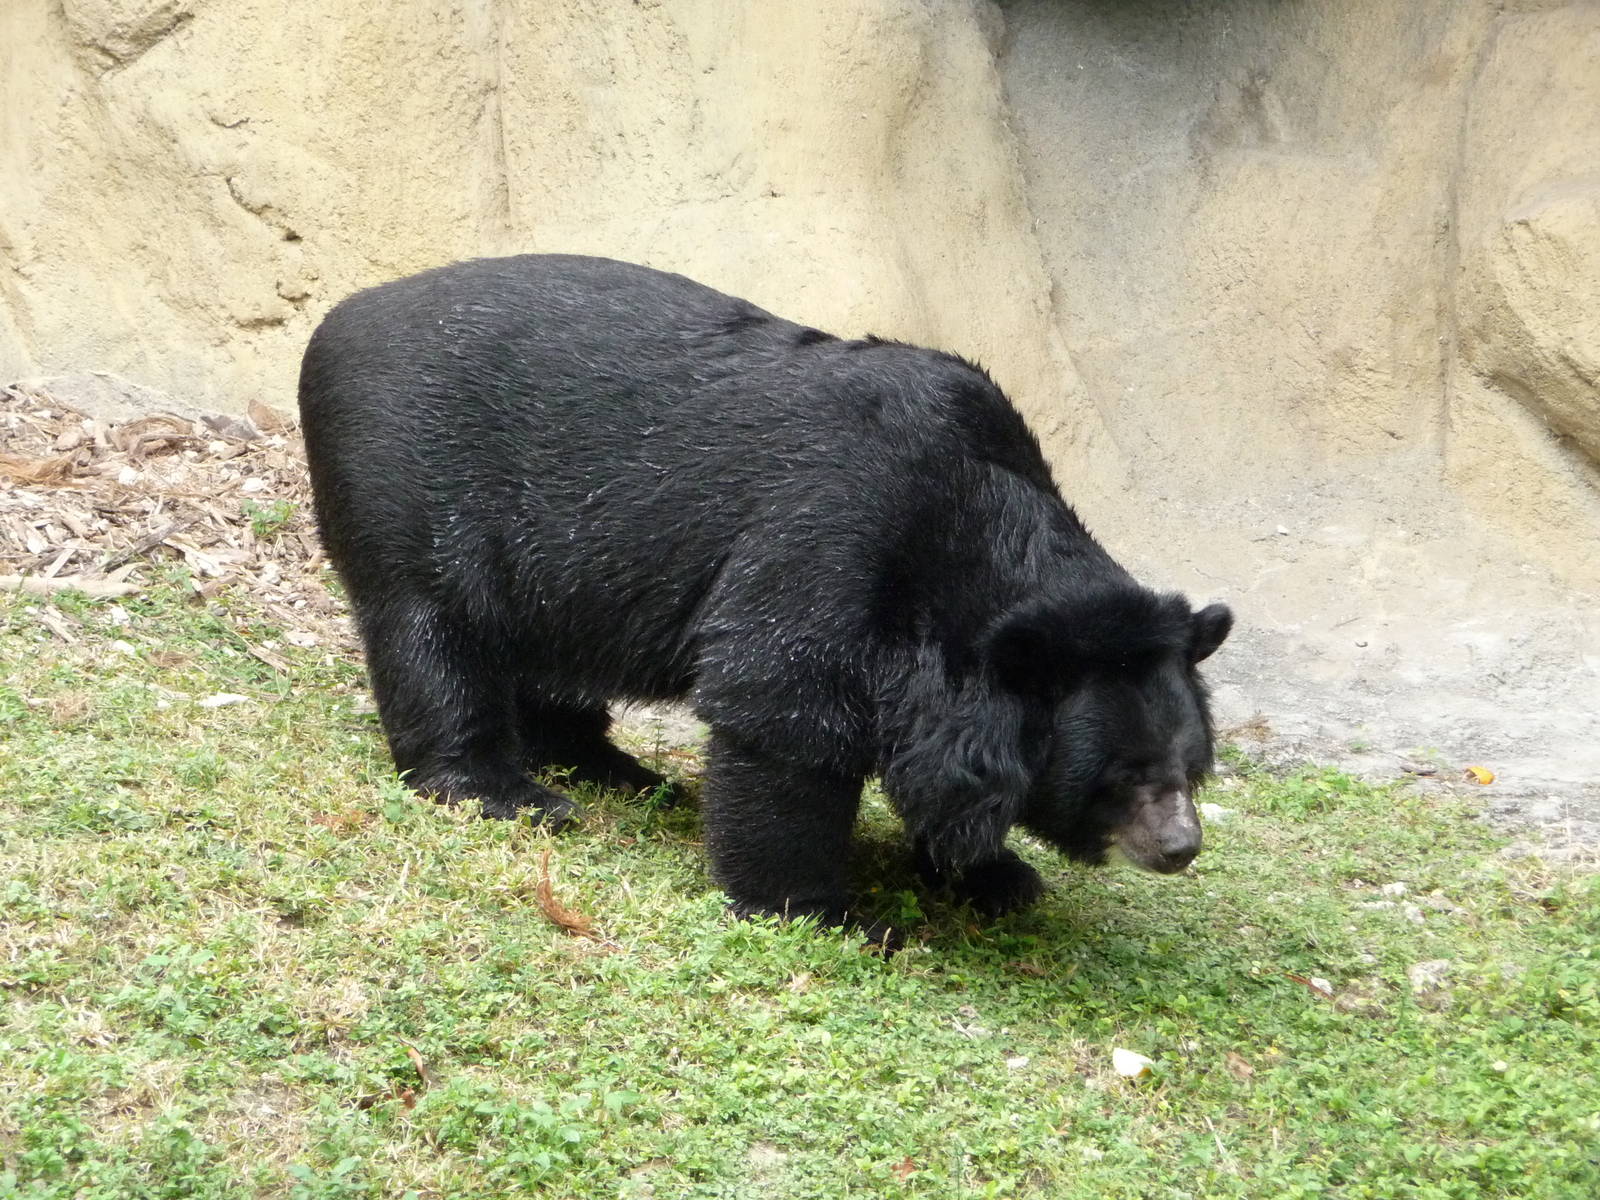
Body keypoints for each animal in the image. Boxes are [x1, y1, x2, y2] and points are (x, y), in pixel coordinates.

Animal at [297, 254, 1233, 938]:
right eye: (1126, 776)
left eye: (1192, 767)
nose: (1180, 847)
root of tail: (338, 317)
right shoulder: (832, 533)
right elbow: (783, 706)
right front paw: (825, 911)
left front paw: (997, 876)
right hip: (412, 483)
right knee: (431, 632)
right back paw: (505, 788)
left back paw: (616, 769)